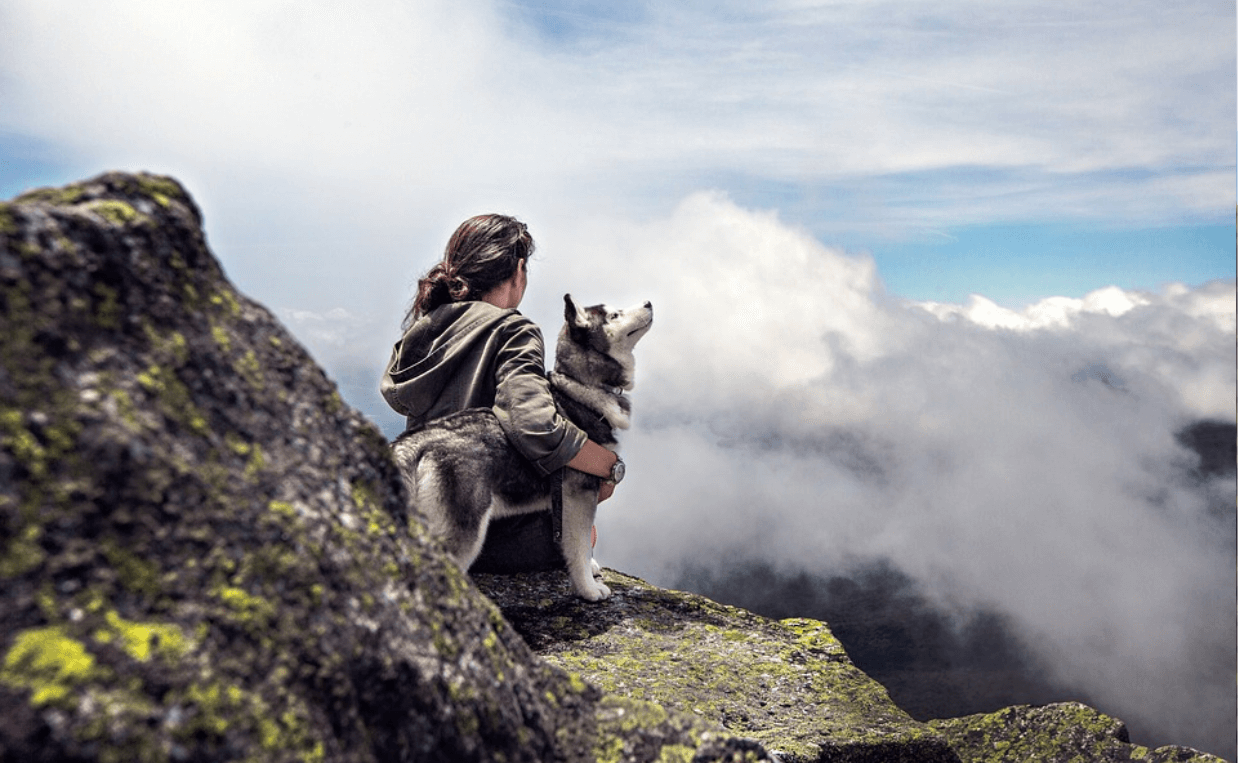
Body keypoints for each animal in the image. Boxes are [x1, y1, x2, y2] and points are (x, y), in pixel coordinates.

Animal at [391, 294, 653, 599]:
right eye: (614, 315)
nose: (649, 302)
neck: (580, 388)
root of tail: (414, 441)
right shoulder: (579, 494)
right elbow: (579, 545)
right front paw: (588, 589)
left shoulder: (563, 503)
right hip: (464, 530)